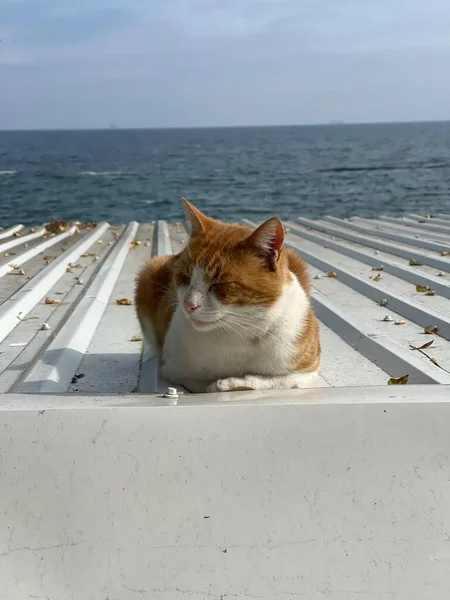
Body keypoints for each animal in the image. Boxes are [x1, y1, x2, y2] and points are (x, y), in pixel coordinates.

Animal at [135, 197, 322, 394]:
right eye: (184, 277)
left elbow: (278, 381)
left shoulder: (308, 369)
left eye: (219, 284)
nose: (188, 305)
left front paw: (230, 383)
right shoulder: (171, 369)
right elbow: (199, 383)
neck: (239, 332)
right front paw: (221, 384)